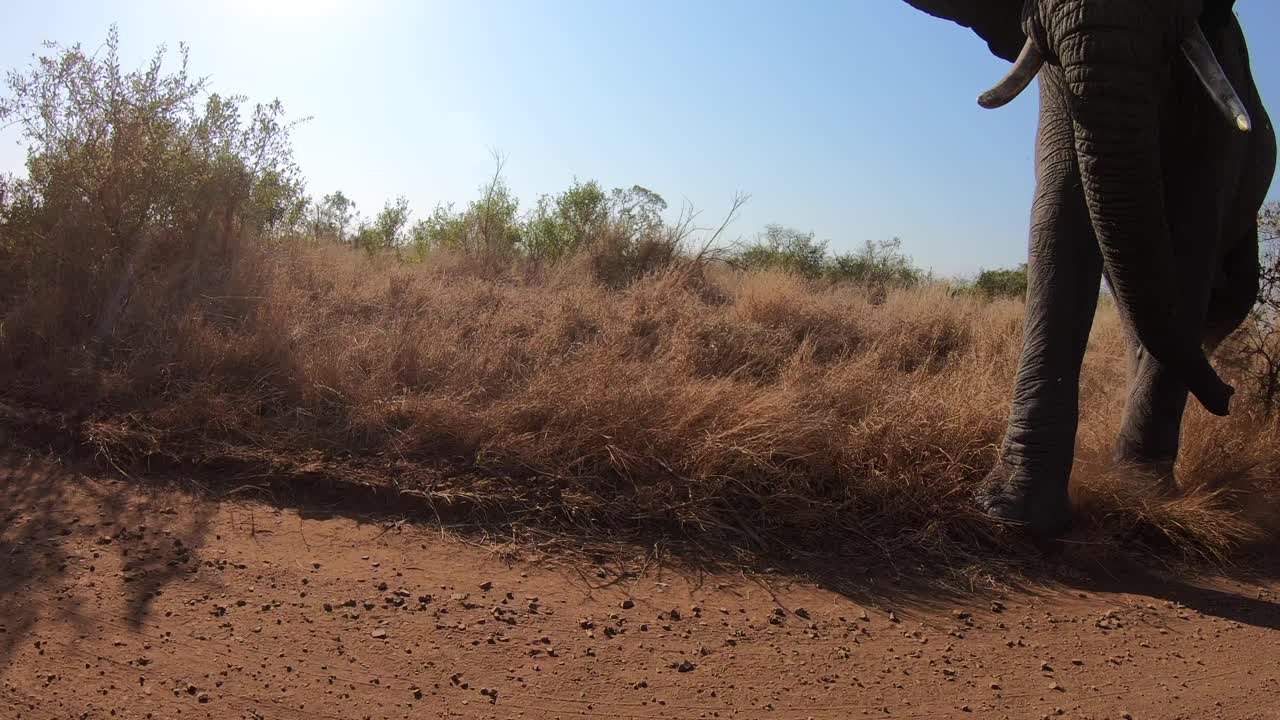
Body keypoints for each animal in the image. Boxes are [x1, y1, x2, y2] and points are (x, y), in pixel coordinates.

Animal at [901, 0, 1276, 536]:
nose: (1228, 397)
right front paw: (1014, 512)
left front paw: (1143, 495)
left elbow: (1192, 235)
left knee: (1225, 294)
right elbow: (1061, 210)